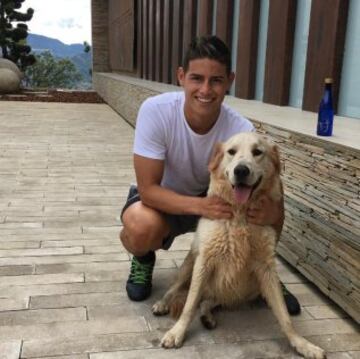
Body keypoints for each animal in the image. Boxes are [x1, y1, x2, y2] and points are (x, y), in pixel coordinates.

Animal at [152, 133, 326, 359]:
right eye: (231, 152)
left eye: (258, 152)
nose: (241, 170)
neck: (240, 215)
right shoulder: (204, 262)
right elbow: (189, 306)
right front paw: (177, 333)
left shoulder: (266, 268)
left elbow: (284, 316)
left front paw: (302, 344)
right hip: (189, 265)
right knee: (177, 290)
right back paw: (163, 303)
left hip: (246, 289)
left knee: (207, 301)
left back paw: (207, 316)